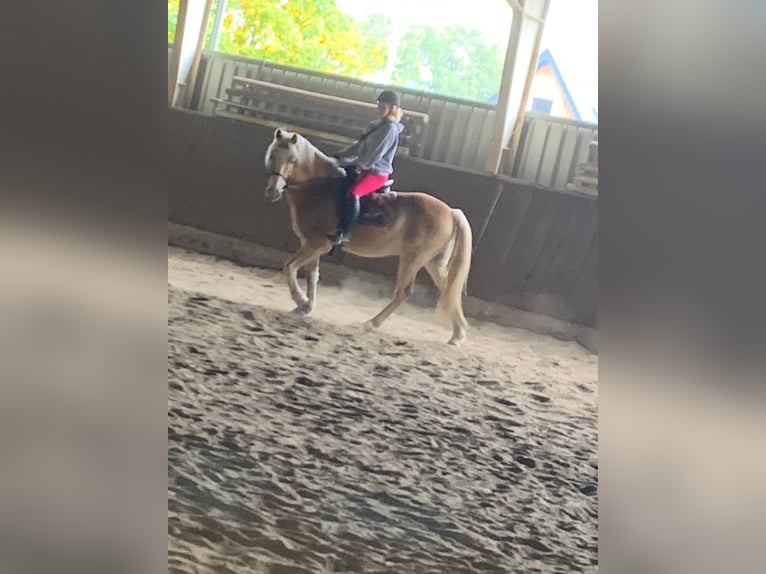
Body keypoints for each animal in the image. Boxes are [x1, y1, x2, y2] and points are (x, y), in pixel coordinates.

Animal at [268, 129, 474, 346]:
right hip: (433, 262)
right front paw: (305, 307)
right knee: (449, 291)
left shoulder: (318, 244)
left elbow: (289, 267)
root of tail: (450, 211)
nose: (273, 191)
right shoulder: (310, 244)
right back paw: (457, 335)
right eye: (272, 155)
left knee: (404, 292)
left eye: (292, 160)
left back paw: (372, 323)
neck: (319, 188)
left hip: (413, 259)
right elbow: (312, 276)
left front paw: (300, 300)